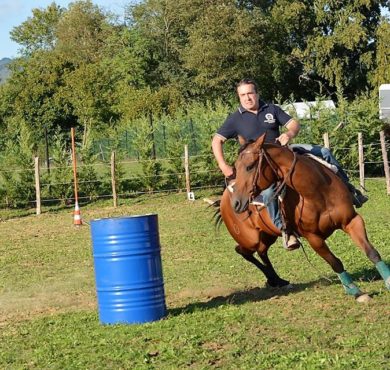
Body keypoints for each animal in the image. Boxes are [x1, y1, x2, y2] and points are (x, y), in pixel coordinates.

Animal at [219, 134, 390, 296]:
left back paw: (277, 280)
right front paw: (355, 291)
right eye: (236, 167)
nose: (237, 203)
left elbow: (372, 252)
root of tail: (224, 198)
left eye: (249, 167)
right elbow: (335, 263)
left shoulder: (352, 221)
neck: (317, 192)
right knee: (242, 251)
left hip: (267, 235)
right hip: (250, 239)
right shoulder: (313, 238)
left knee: (261, 251)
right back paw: (274, 279)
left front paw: (387, 282)